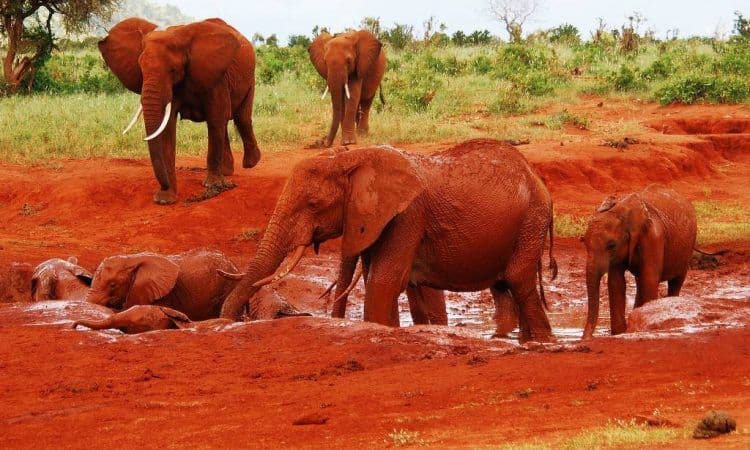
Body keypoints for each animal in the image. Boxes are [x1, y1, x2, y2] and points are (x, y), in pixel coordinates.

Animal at [98, 17, 261, 204]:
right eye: (140, 69)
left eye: (173, 70)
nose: (164, 186)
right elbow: (167, 127)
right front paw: (165, 199)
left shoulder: (216, 78)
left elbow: (216, 118)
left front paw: (212, 186)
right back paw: (227, 172)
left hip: (250, 78)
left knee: (240, 118)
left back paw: (250, 163)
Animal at [220, 139, 557, 342]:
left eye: (314, 204)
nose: (227, 321)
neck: (352, 158)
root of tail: (536, 177)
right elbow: (389, 281)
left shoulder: (407, 215)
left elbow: (384, 281)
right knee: (503, 285)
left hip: (532, 218)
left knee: (517, 278)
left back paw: (543, 342)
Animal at [581, 184, 697, 338]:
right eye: (584, 242)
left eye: (611, 245)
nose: (585, 338)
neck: (623, 209)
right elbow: (616, 283)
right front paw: (619, 333)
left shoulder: (653, 238)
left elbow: (649, 280)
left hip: (687, 249)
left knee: (675, 282)